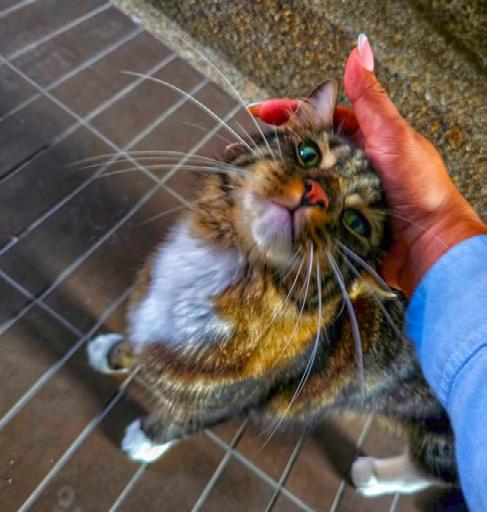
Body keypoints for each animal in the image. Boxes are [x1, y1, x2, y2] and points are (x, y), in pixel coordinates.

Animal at [86, 79, 457, 497]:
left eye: (355, 222)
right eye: (308, 153)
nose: (315, 193)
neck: (222, 270)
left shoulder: (229, 400)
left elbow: (179, 421)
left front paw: (143, 441)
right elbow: (134, 345)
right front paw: (110, 353)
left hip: (441, 440)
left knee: (429, 471)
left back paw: (373, 477)